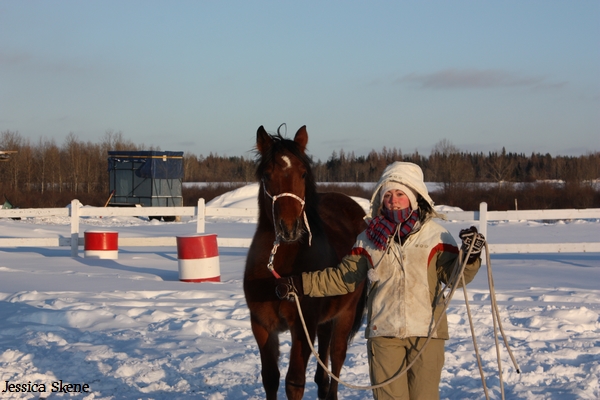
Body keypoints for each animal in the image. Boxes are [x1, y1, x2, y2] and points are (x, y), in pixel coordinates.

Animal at [243, 126, 366, 400]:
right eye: (267, 175)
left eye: (302, 173)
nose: (289, 229)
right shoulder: (262, 325)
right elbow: (270, 378)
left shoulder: (303, 325)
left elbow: (295, 382)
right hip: (326, 320)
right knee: (324, 364)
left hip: (346, 313)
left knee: (336, 359)